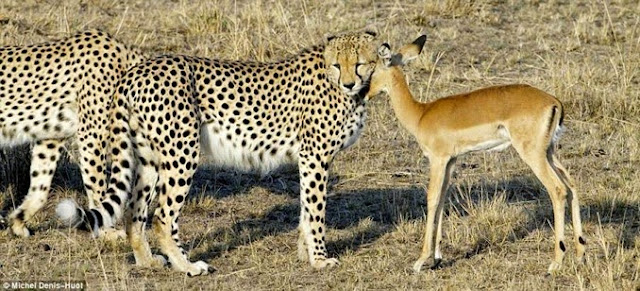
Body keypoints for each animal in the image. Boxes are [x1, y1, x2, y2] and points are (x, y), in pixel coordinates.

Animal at [0, 30, 144, 238]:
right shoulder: (91, 135)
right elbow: (98, 185)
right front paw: (106, 230)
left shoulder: (51, 137)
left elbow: (41, 187)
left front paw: (18, 222)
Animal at [56, 31, 384, 276]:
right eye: (337, 65)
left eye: (359, 63)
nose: (349, 82)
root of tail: (138, 69)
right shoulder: (315, 155)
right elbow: (315, 210)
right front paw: (319, 259)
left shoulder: (309, 158)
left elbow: (306, 209)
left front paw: (306, 255)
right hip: (182, 152)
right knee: (162, 216)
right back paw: (187, 266)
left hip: (148, 158)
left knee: (134, 213)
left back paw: (148, 261)